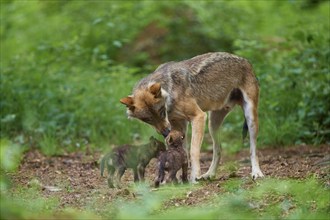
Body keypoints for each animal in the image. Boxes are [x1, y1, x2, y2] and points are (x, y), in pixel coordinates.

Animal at [120, 52, 264, 182]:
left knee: (253, 150)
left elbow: (193, 151)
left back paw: (256, 173)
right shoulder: (178, 125)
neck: (170, 93)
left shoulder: (198, 116)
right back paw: (209, 174)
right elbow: (179, 152)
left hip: (250, 119)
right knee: (218, 150)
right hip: (212, 124)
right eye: (147, 119)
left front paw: (194, 177)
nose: (165, 132)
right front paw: (179, 180)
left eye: (161, 111)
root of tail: (245, 60)